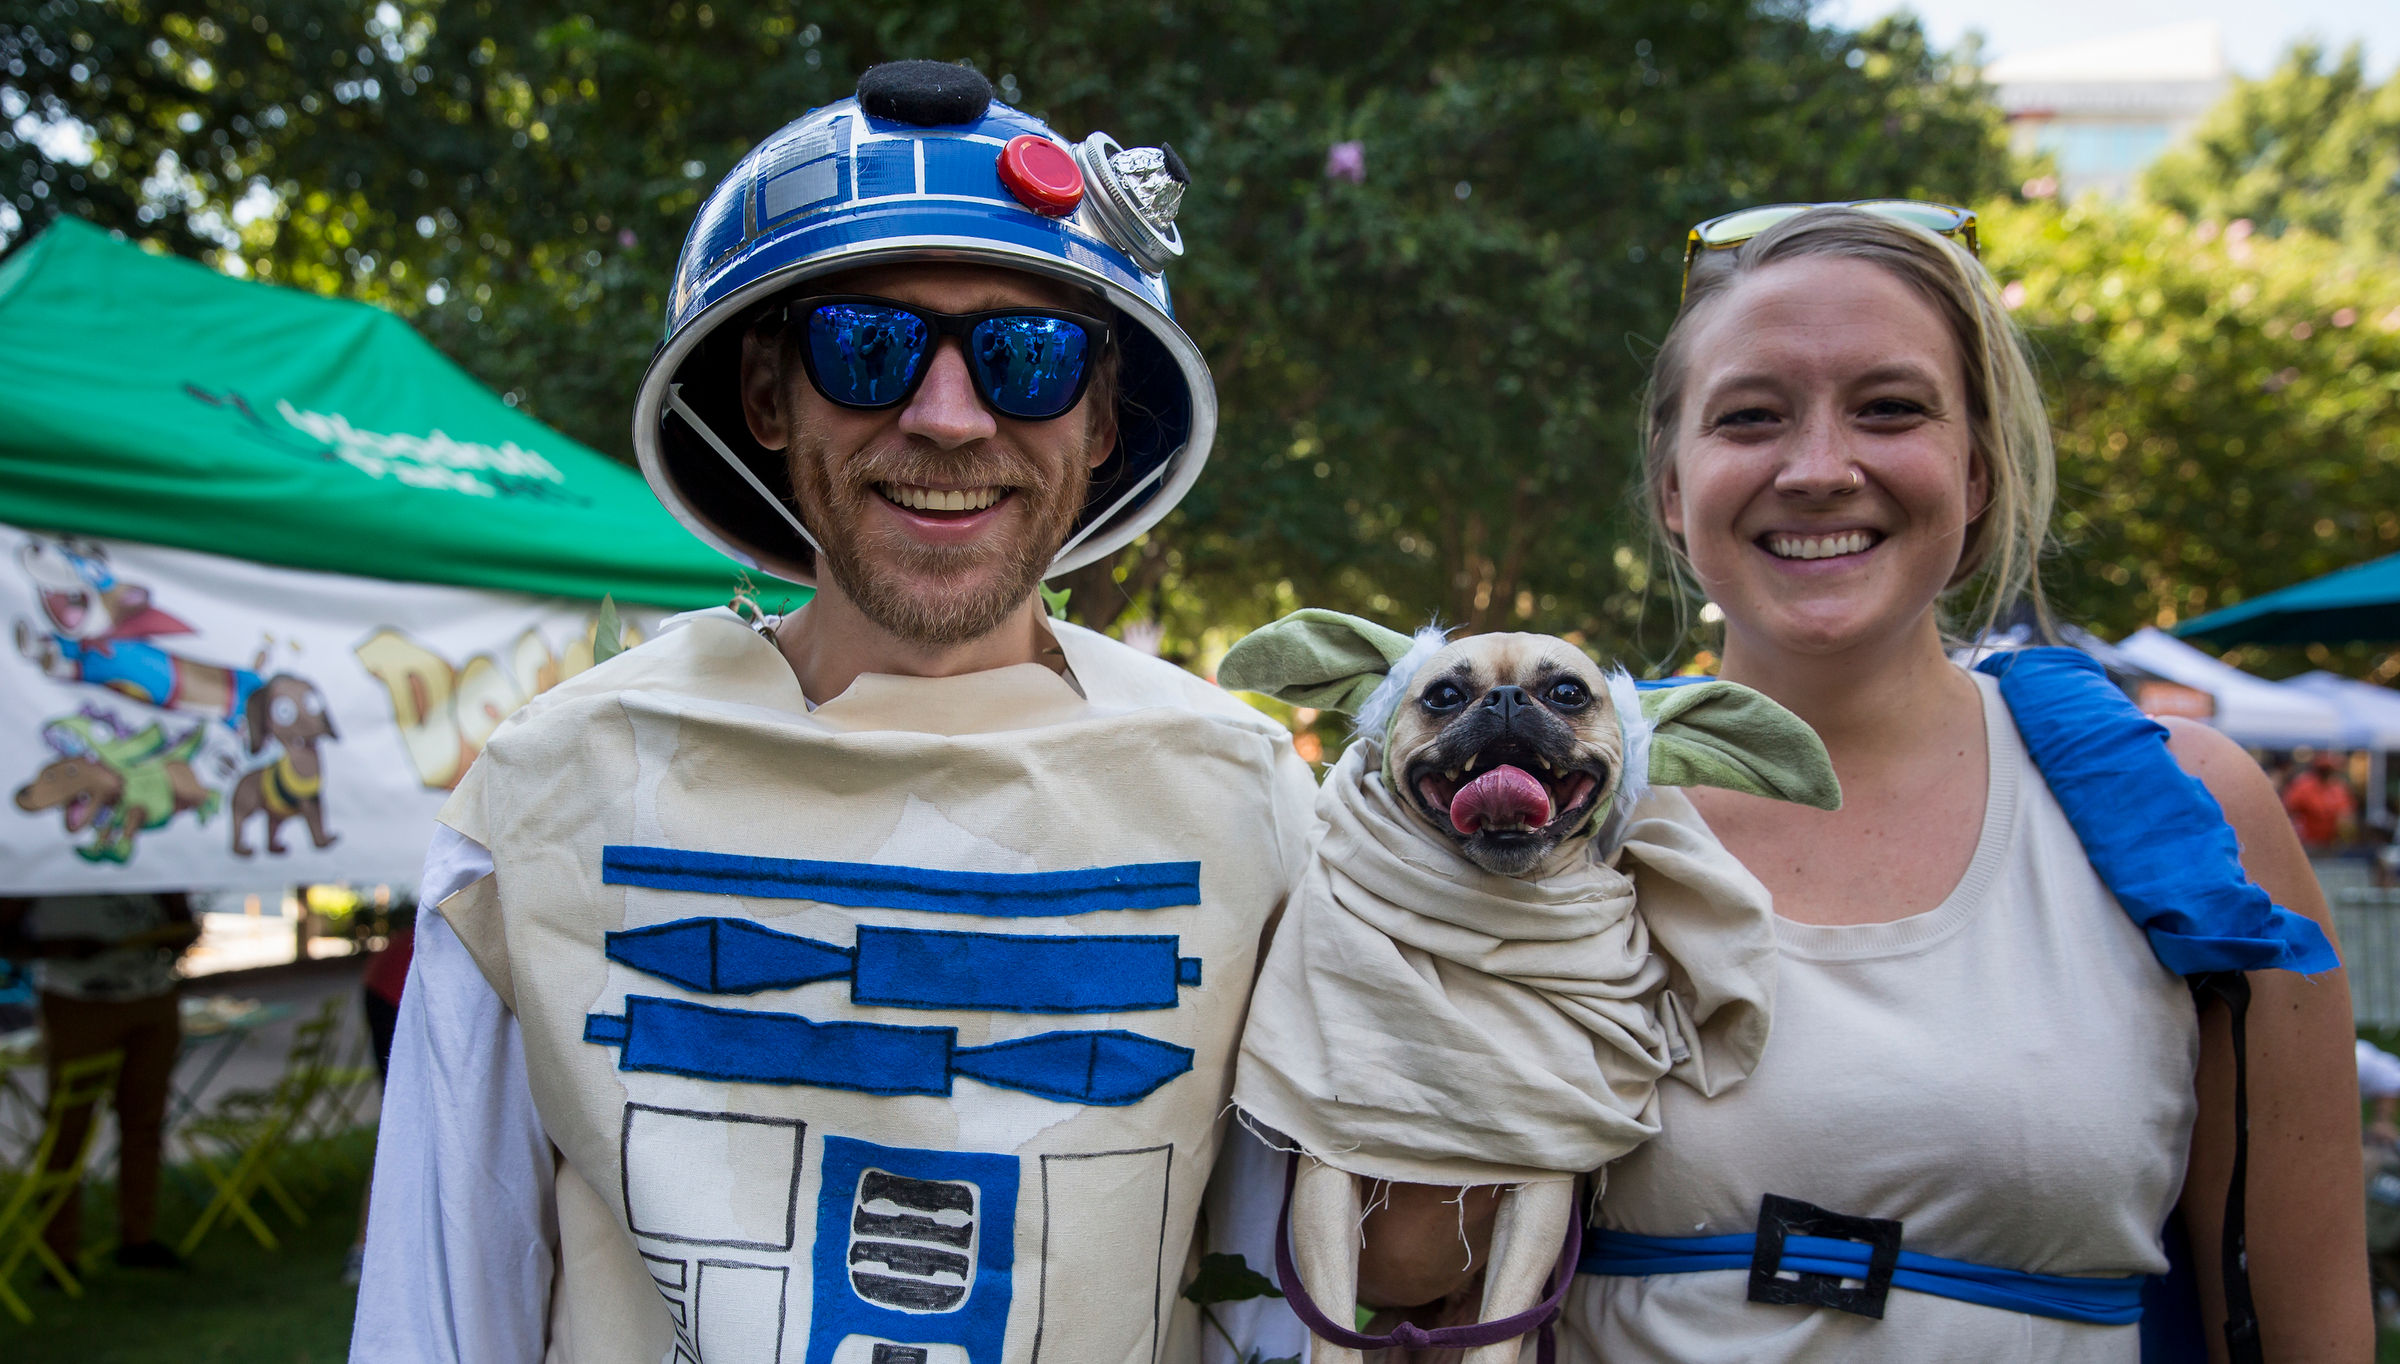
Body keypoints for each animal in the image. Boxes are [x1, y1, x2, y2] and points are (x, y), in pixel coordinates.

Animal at [229, 674, 339, 856]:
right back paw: (242, 850)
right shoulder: (307, 802)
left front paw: (326, 840)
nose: (324, 722)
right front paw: (323, 843)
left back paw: (275, 849)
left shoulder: (315, 799)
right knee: (239, 822)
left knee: (271, 825)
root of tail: (240, 777)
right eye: (284, 711)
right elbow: (315, 821)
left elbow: (319, 819)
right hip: (245, 805)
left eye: (312, 702)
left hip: (274, 810)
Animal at [1219, 610, 1839, 1364]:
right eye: (1444, 696)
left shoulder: (1541, 1198)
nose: (1507, 699)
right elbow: (1329, 1329)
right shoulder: (1326, 1182)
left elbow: (1500, 1336)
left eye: (1568, 692)